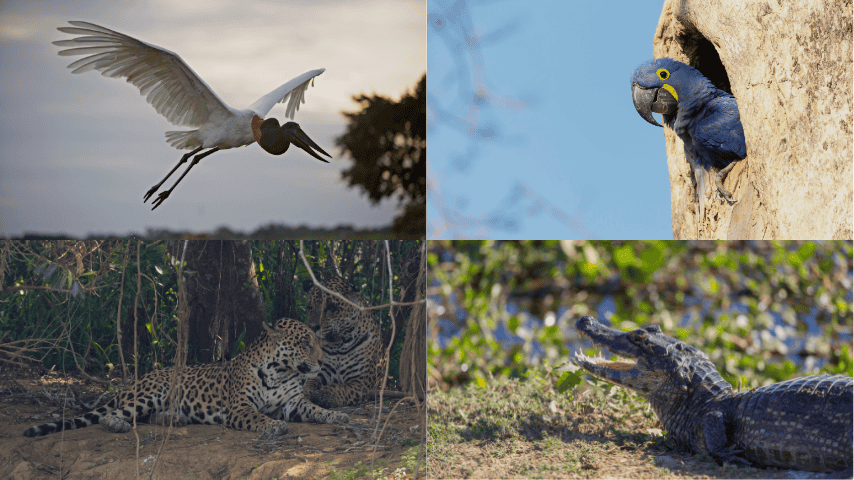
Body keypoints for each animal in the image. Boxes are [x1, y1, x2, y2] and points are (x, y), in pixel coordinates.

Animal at [23, 317, 348, 437]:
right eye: (304, 343)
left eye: (317, 341)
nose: (322, 360)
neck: (281, 371)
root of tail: (134, 383)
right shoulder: (239, 408)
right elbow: (258, 417)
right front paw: (273, 425)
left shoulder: (293, 403)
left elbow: (316, 408)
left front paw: (338, 416)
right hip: (152, 392)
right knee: (110, 414)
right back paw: (118, 424)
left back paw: (175, 418)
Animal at [302, 277, 386, 408]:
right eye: (310, 307)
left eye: (331, 307)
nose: (312, 326)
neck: (338, 344)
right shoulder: (322, 372)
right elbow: (310, 382)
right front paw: (306, 391)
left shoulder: (360, 381)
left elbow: (342, 388)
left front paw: (326, 394)